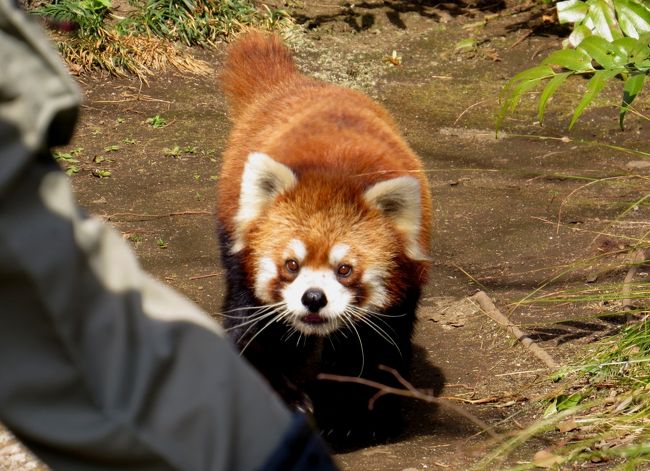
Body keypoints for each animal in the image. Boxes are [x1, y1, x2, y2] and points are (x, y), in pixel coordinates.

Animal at [216, 32, 430, 446]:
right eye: (291, 265)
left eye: (344, 269)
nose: (313, 298)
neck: (336, 172)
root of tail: (296, 85)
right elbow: (251, 333)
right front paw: (284, 400)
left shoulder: (402, 292)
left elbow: (377, 351)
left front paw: (357, 417)